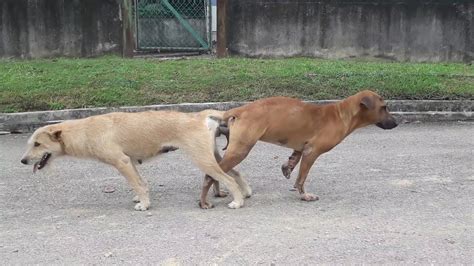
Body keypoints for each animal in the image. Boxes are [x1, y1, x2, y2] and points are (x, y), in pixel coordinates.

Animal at [19, 109, 248, 211]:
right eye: (30, 144)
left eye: (37, 144)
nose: (23, 161)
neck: (84, 131)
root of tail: (200, 115)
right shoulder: (129, 161)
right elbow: (141, 183)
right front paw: (142, 199)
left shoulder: (121, 162)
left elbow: (136, 184)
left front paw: (144, 205)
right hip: (214, 157)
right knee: (236, 172)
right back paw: (246, 192)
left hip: (203, 160)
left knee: (228, 179)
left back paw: (238, 201)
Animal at [198, 89, 398, 208]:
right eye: (384, 107)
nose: (396, 123)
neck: (342, 114)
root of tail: (239, 110)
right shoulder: (312, 152)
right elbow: (301, 178)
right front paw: (304, 195)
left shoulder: (301, 148)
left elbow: (293, 159)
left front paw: (287, 167)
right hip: (240, 150)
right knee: (210, 175)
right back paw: (204, 202)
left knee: (213, 173)